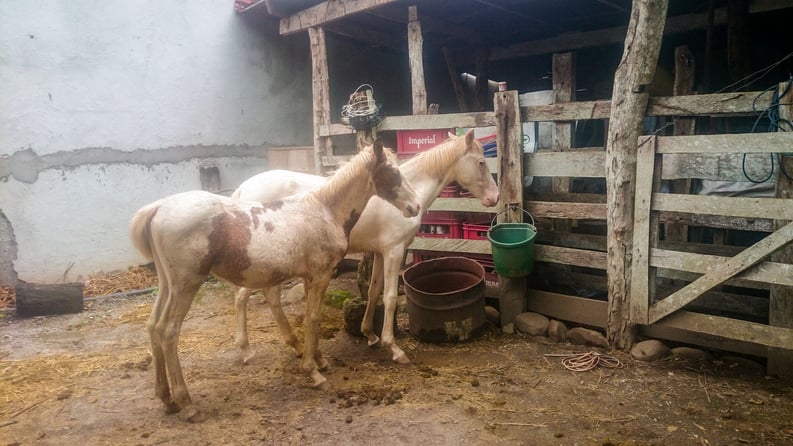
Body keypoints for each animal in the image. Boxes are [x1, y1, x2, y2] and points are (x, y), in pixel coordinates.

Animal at [128, 140, 420, 422]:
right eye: (394, 172)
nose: (415, 207)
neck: (325, 211)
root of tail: (157, 208)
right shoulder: (320, 274)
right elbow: (312, 318)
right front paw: (314, 372)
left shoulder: (308, 276)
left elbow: (309, 318)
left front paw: (319, 360)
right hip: (186, 284)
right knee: (168, 331)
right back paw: (188, 405)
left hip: (167, 284)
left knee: (153, 326)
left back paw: (166, 399)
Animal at [232, 127, 498, 364]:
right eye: (481, 162)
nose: (494, 198)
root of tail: (242, 190)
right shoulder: (394, 251)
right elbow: (390, 297)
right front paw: (394, 348)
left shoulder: (380, 252)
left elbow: (373, 291)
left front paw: (370, 334)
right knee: (254, 296)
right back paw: (254, 349)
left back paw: (287, 346)